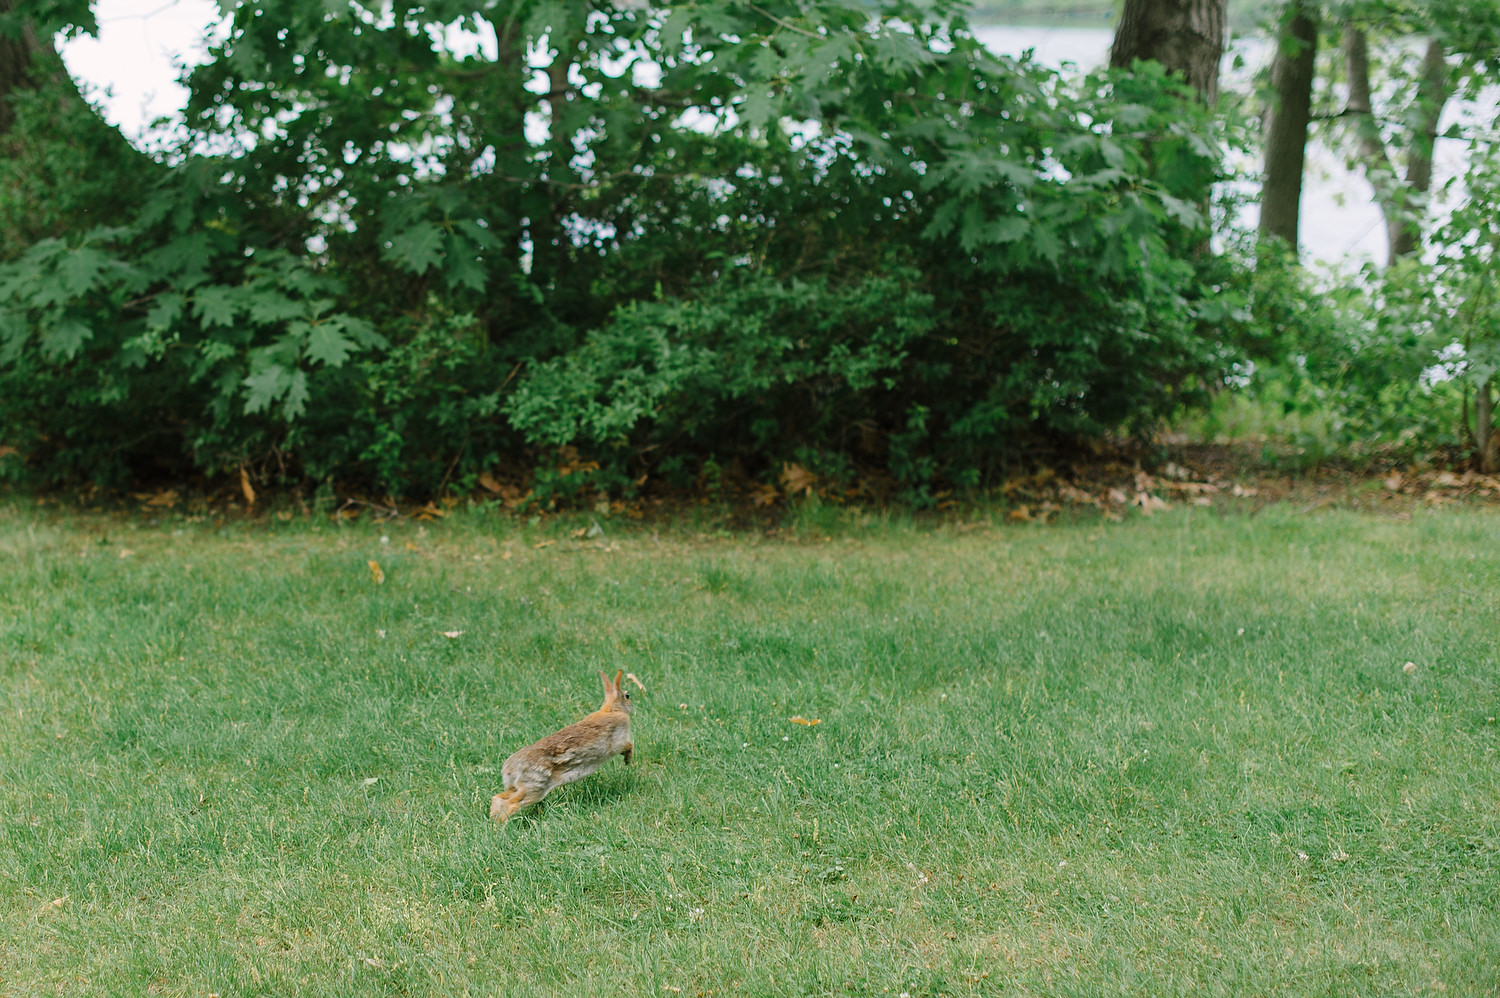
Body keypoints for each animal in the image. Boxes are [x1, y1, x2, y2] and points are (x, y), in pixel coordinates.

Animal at [492, 669, 633, 816]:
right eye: (627, 695)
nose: (631, 705)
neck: (612, 709)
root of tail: (510, 769)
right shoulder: (618, 741)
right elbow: (628, 745)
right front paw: (628, 759)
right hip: (535, 787)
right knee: (511, 805)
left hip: (518, 787)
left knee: (497, 798)